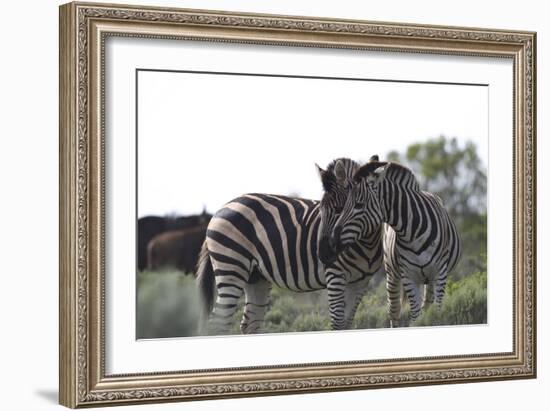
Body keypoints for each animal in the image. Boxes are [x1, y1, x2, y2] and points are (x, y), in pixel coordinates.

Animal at [196, 158, 386, 334]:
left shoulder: (361, 282)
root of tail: (221, 209)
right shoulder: (335, 275)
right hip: (231, 268)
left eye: (340, 209)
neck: (366, 242)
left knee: (250, 323)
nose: (323, 254)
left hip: (255, 277)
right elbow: (338, 324)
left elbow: (347, 323)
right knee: (218, 323)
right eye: (321, 210)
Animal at [328, 159, 462, 326]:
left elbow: (437, 312)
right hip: (392, 275)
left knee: (427, 306)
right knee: (394, 311)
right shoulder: (409, 276)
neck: (413, 233)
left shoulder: (440, 273)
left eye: (359, 205)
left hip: (429, 279)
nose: (333, 239)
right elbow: (415, 315)